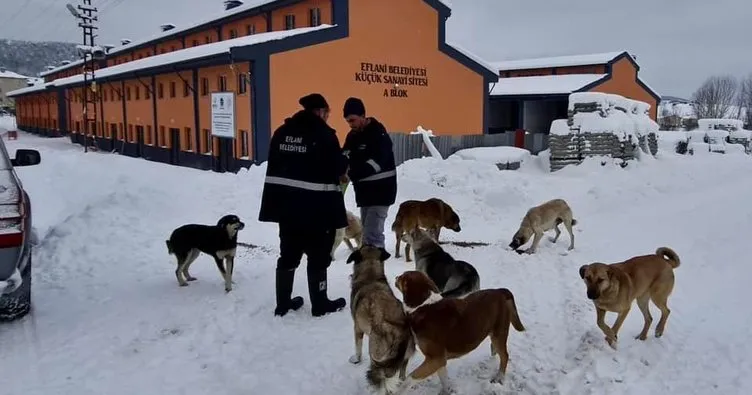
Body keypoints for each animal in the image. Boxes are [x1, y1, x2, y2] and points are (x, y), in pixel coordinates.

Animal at [348, 248, 418, 392]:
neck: (371, 276)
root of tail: (400, 332)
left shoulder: (357, 328)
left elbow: (358, 348)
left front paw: (356, 360)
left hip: (376, 353)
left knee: (381, 377)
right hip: (404, 356)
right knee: (401, 373)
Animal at [394, 270, 524, 394]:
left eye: (402, 276)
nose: (396, 277)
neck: (424, 306)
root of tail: (500, 291)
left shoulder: (435, 358)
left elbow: (409, 379)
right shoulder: (439, 360)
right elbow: (444, 379)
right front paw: (447, 391)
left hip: (499, 332)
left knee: (505, 356)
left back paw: (499, 378)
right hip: (494, 333)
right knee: (495, 349)